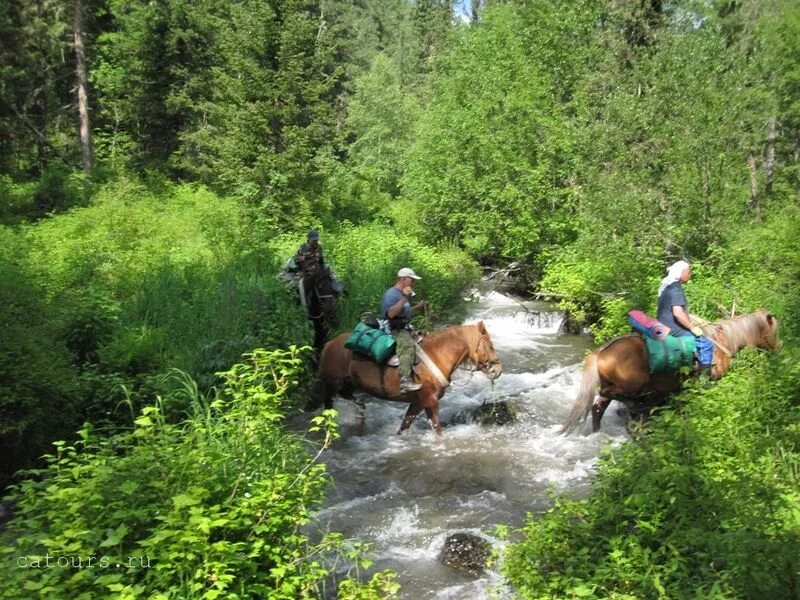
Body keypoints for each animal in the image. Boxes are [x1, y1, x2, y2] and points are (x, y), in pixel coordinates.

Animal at [306, 322, 500, 434]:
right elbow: (437, 429)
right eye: (490, 345)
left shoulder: (418, 402)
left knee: (346, 396)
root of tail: (329, 343)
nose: (498, 369)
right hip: (332, 382)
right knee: (328, 403)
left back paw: (361, 411)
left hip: (350, 383)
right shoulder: (430, 401)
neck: (438, 356)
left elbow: (404, 425)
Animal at [560, 312, 780, 434]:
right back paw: (636, 405)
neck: (723, 342)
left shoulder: (682, 389)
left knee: (598, 407)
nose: (780, 349)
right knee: (610, 396)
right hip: (630, 384)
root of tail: (601, 351)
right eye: (774, 331)